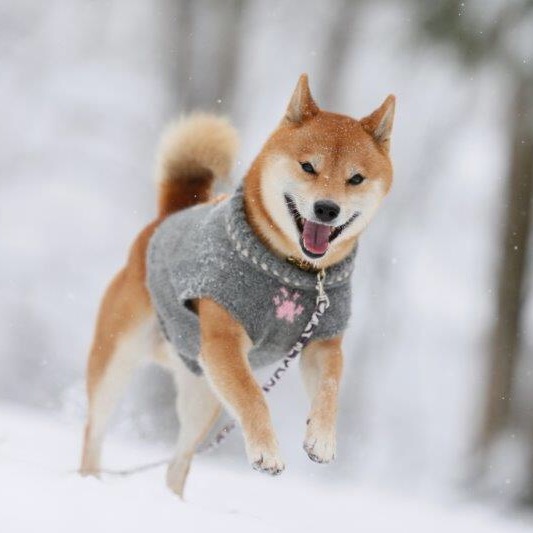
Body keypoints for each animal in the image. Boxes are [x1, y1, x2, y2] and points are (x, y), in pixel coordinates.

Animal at [80, 72, 394, 496]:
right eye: (308, 167)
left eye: (355, 178)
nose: (327, 209)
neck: (296, 273)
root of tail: (167, 216)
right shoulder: (225, 340)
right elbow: (251, 397)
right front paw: (267, 451)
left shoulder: (322, 343)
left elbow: (330, 389)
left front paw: (322, 439)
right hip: (117, 359)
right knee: (94, 433)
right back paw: (88, 482)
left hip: (203, 392)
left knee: (177, 464)